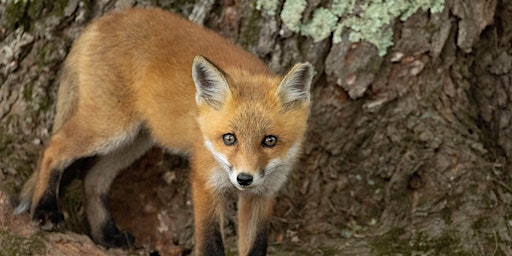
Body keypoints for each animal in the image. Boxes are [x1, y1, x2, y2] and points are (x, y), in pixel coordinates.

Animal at [14, 7, 312, 255]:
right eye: (229, 138)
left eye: (269, 141)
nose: (244, 179)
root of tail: (103, 20)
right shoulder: (205, 182)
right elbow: (210, 244)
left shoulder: (263, 194)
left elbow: (256, 246)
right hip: (109, 128)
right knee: (54, 148)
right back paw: (45, 209)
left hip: (135, 140)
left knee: (93, 177)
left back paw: (106, 236)